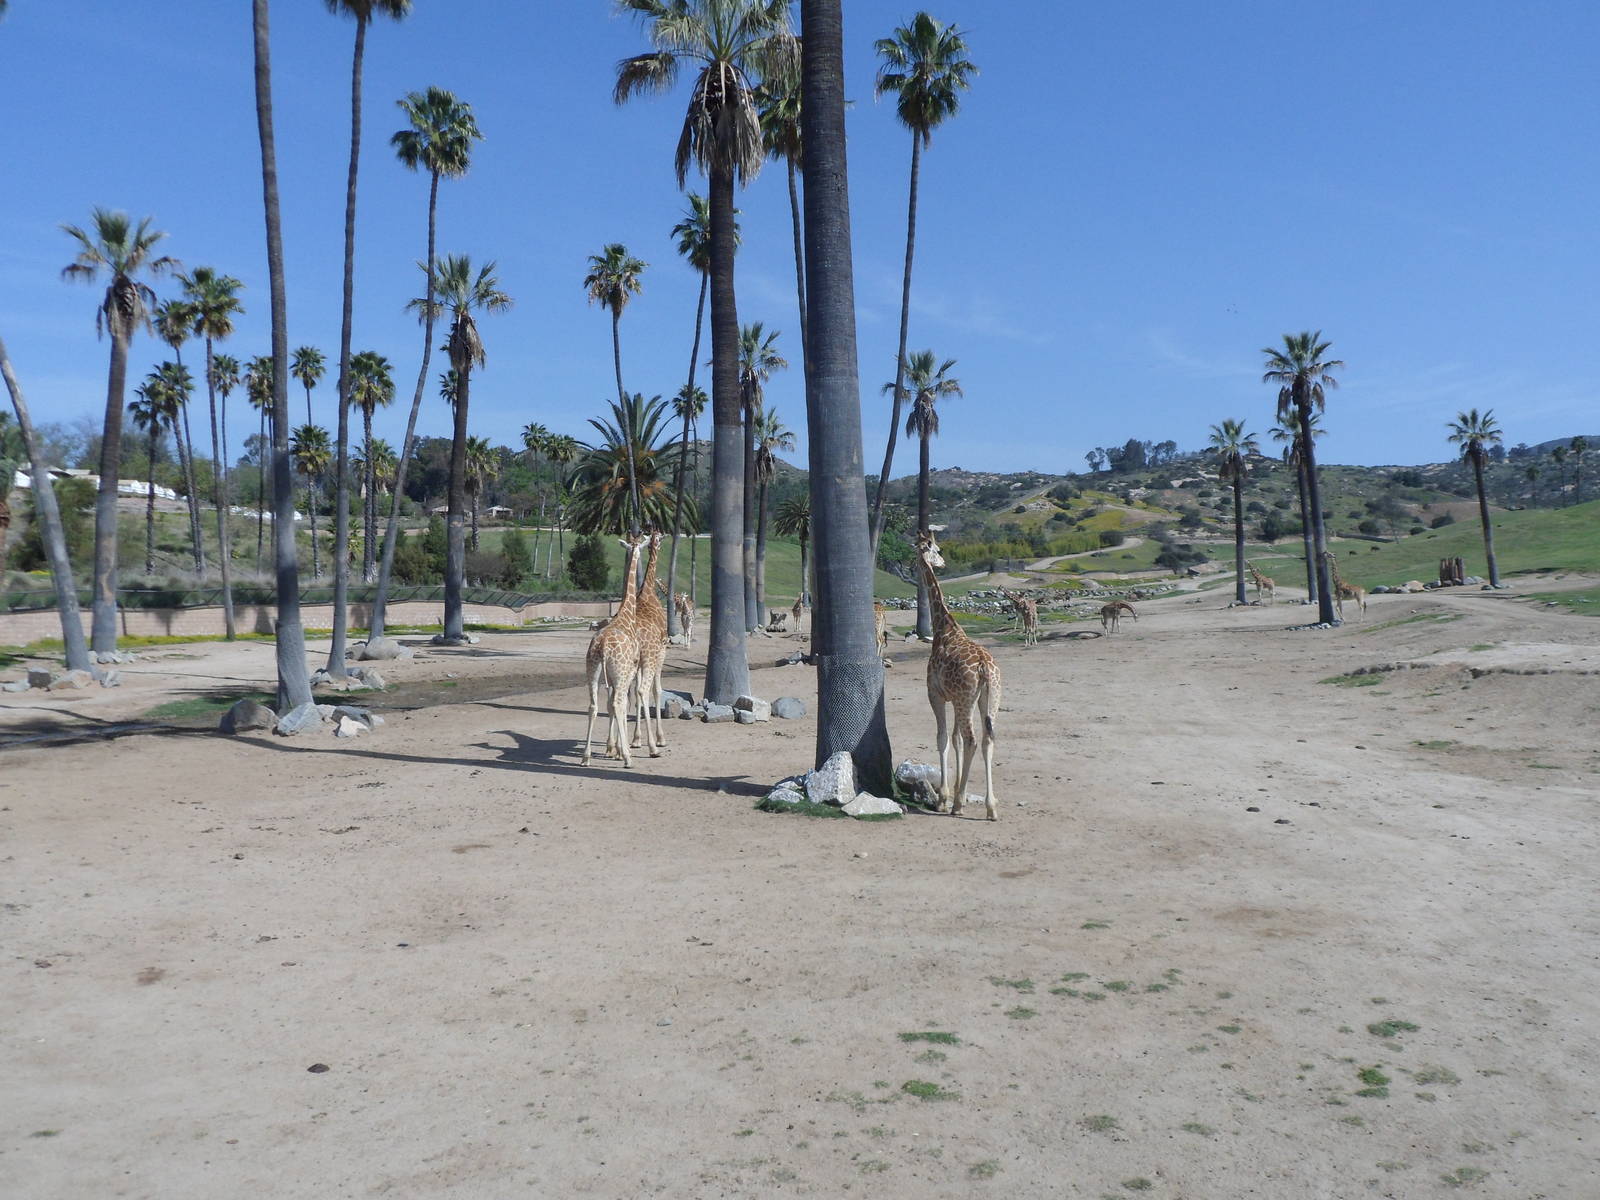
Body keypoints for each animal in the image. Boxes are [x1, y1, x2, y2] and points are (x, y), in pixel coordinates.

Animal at [582, 532, 654, 767]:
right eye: (643, 545)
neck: (626, 613)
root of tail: (603, 646)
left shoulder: (613, 678)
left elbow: (609, 706)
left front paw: (612, 749)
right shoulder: (628, 671)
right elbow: (623, 705)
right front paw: (621, 751)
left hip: (592, 670)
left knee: (593, 706)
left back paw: (586, 757)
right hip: (620, 673)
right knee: (619, 703)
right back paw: (628, 759)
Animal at [917, 532, 1003, 821]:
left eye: (937, 549)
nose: (942, 562)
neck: (943, 626)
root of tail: (985, 667)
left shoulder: (936, 694)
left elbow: (943, 738)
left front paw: (944, 798)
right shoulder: (955, 699)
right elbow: (954, 740)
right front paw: (953, 792)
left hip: (967, 699)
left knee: (973, 740)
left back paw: (958, 805)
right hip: (988, 698)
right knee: (987, 739)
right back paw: (991, 807)